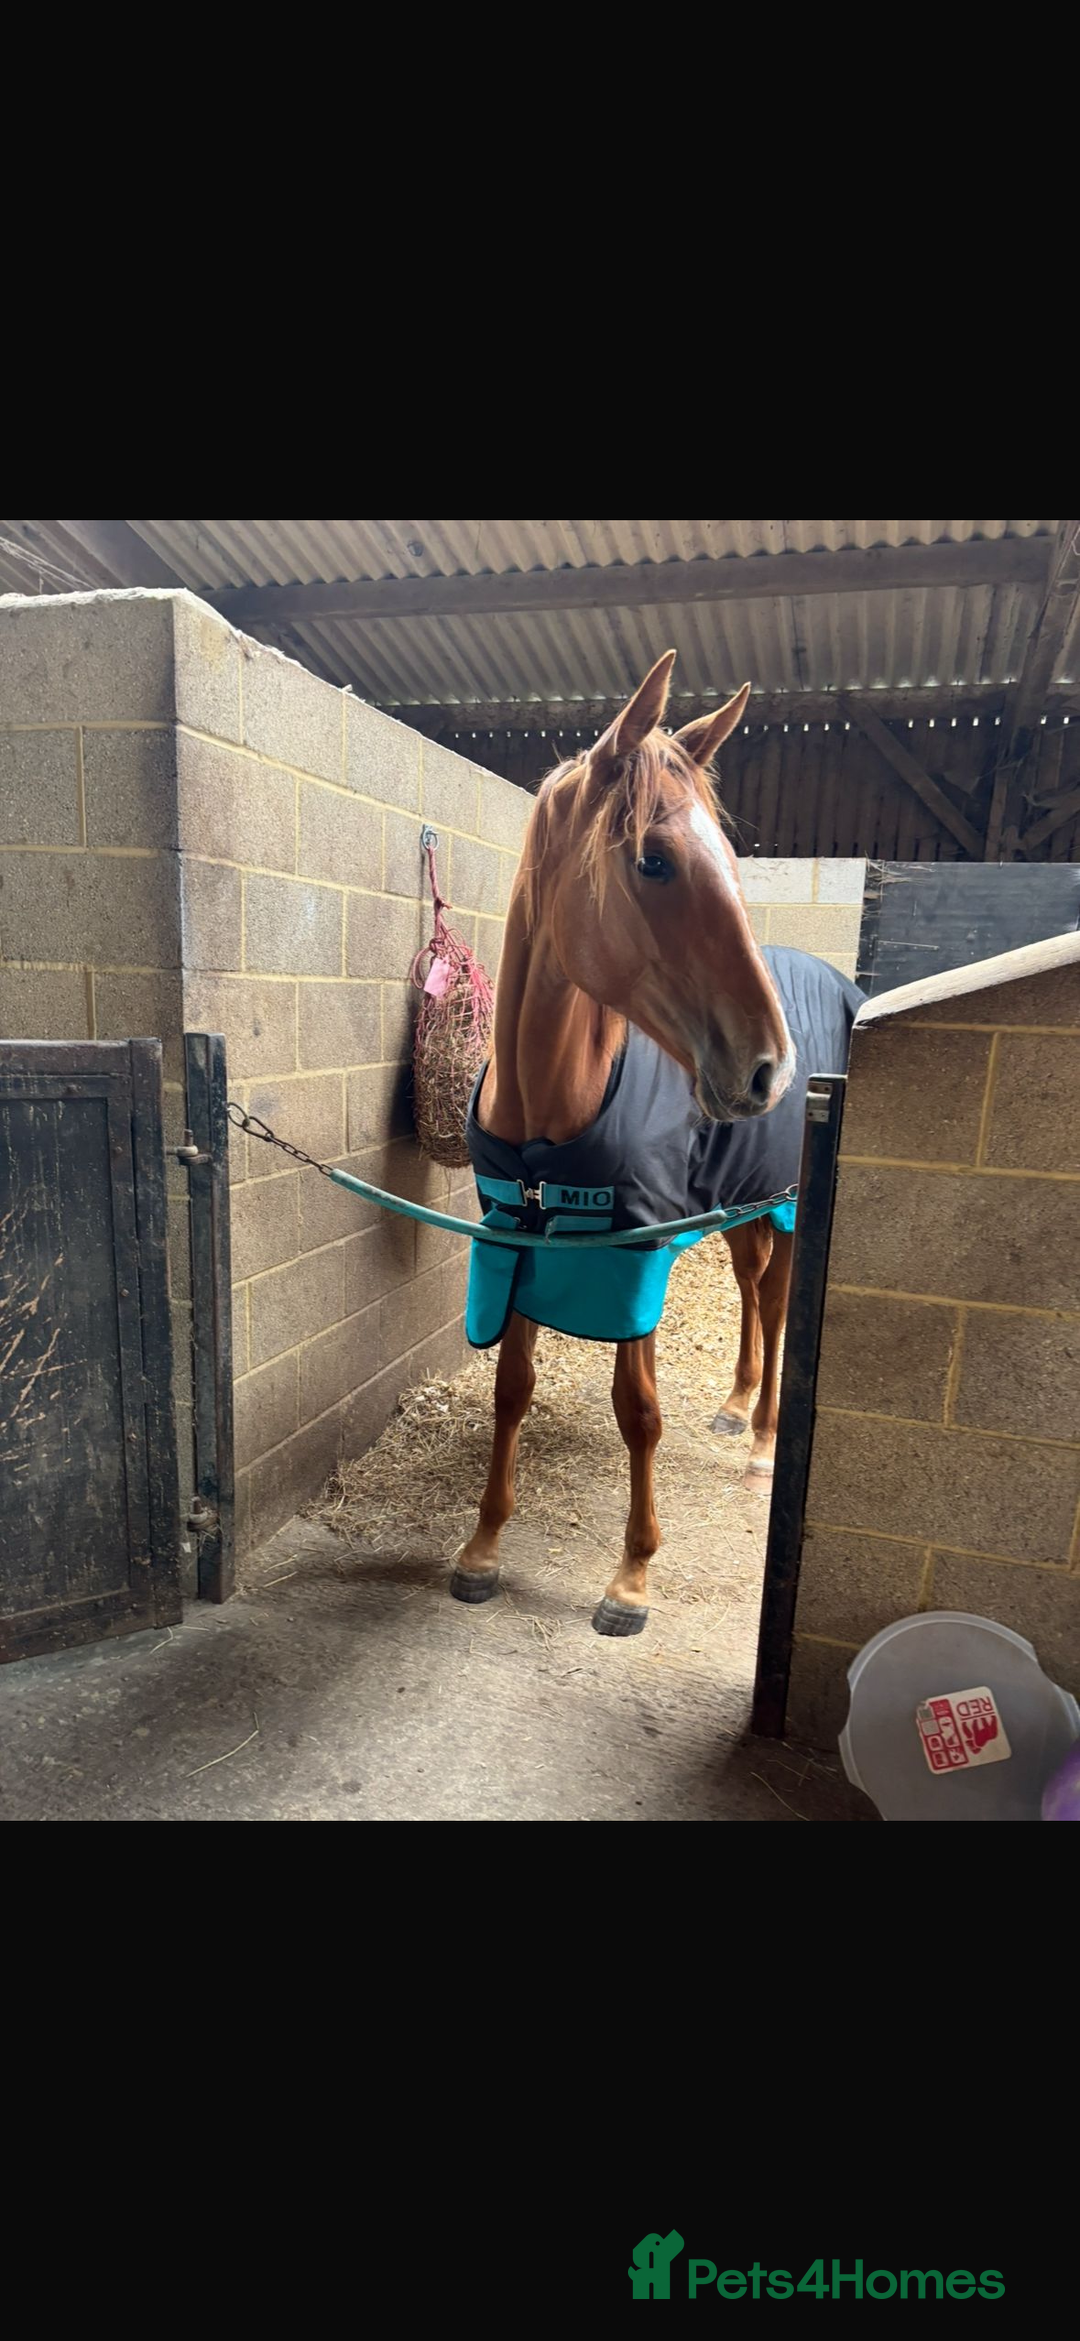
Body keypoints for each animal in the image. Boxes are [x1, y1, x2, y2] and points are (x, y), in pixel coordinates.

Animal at [452, 650, 863, 1638]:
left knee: (779, 1305)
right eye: (653, 859)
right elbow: (512, 1386)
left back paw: (763, 1442)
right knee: (753, 1293)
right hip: (740, 1207)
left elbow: (637, 1409)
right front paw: (483, 1546)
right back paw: (738, 1403)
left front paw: (632, 1575)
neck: (550, 1108)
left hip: (787, 1209)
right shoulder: (516, 1239)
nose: (768, 1067)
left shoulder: (633, 1247)